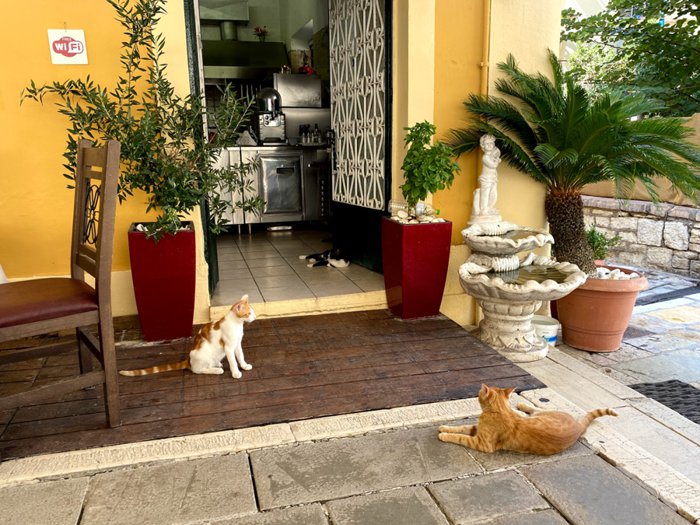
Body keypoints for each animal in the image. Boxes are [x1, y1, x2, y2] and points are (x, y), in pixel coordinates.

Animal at [119, 294, 256, 379]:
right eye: (249, 313)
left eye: (252, 312)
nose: (255, 317)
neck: (237, 324)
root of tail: (188, 360)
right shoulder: (228, 347)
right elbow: (233, 361)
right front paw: (236, 372)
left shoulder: (237, 344)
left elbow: (240, 356)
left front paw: (244, 366)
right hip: (203, 353)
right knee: (197, 370)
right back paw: (216, 370)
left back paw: (216, 364)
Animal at [438, 384, 617, 456]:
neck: (501, 410)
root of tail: (578, 427)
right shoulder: (477, 429)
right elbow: (462, 428)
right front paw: (444, 427)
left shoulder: (482, 443)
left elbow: (460, 437)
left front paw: (444, 435)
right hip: (543, 415)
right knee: (534, 410)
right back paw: (521, 406)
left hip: (543, 414)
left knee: (536, 409)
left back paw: (521, 406)